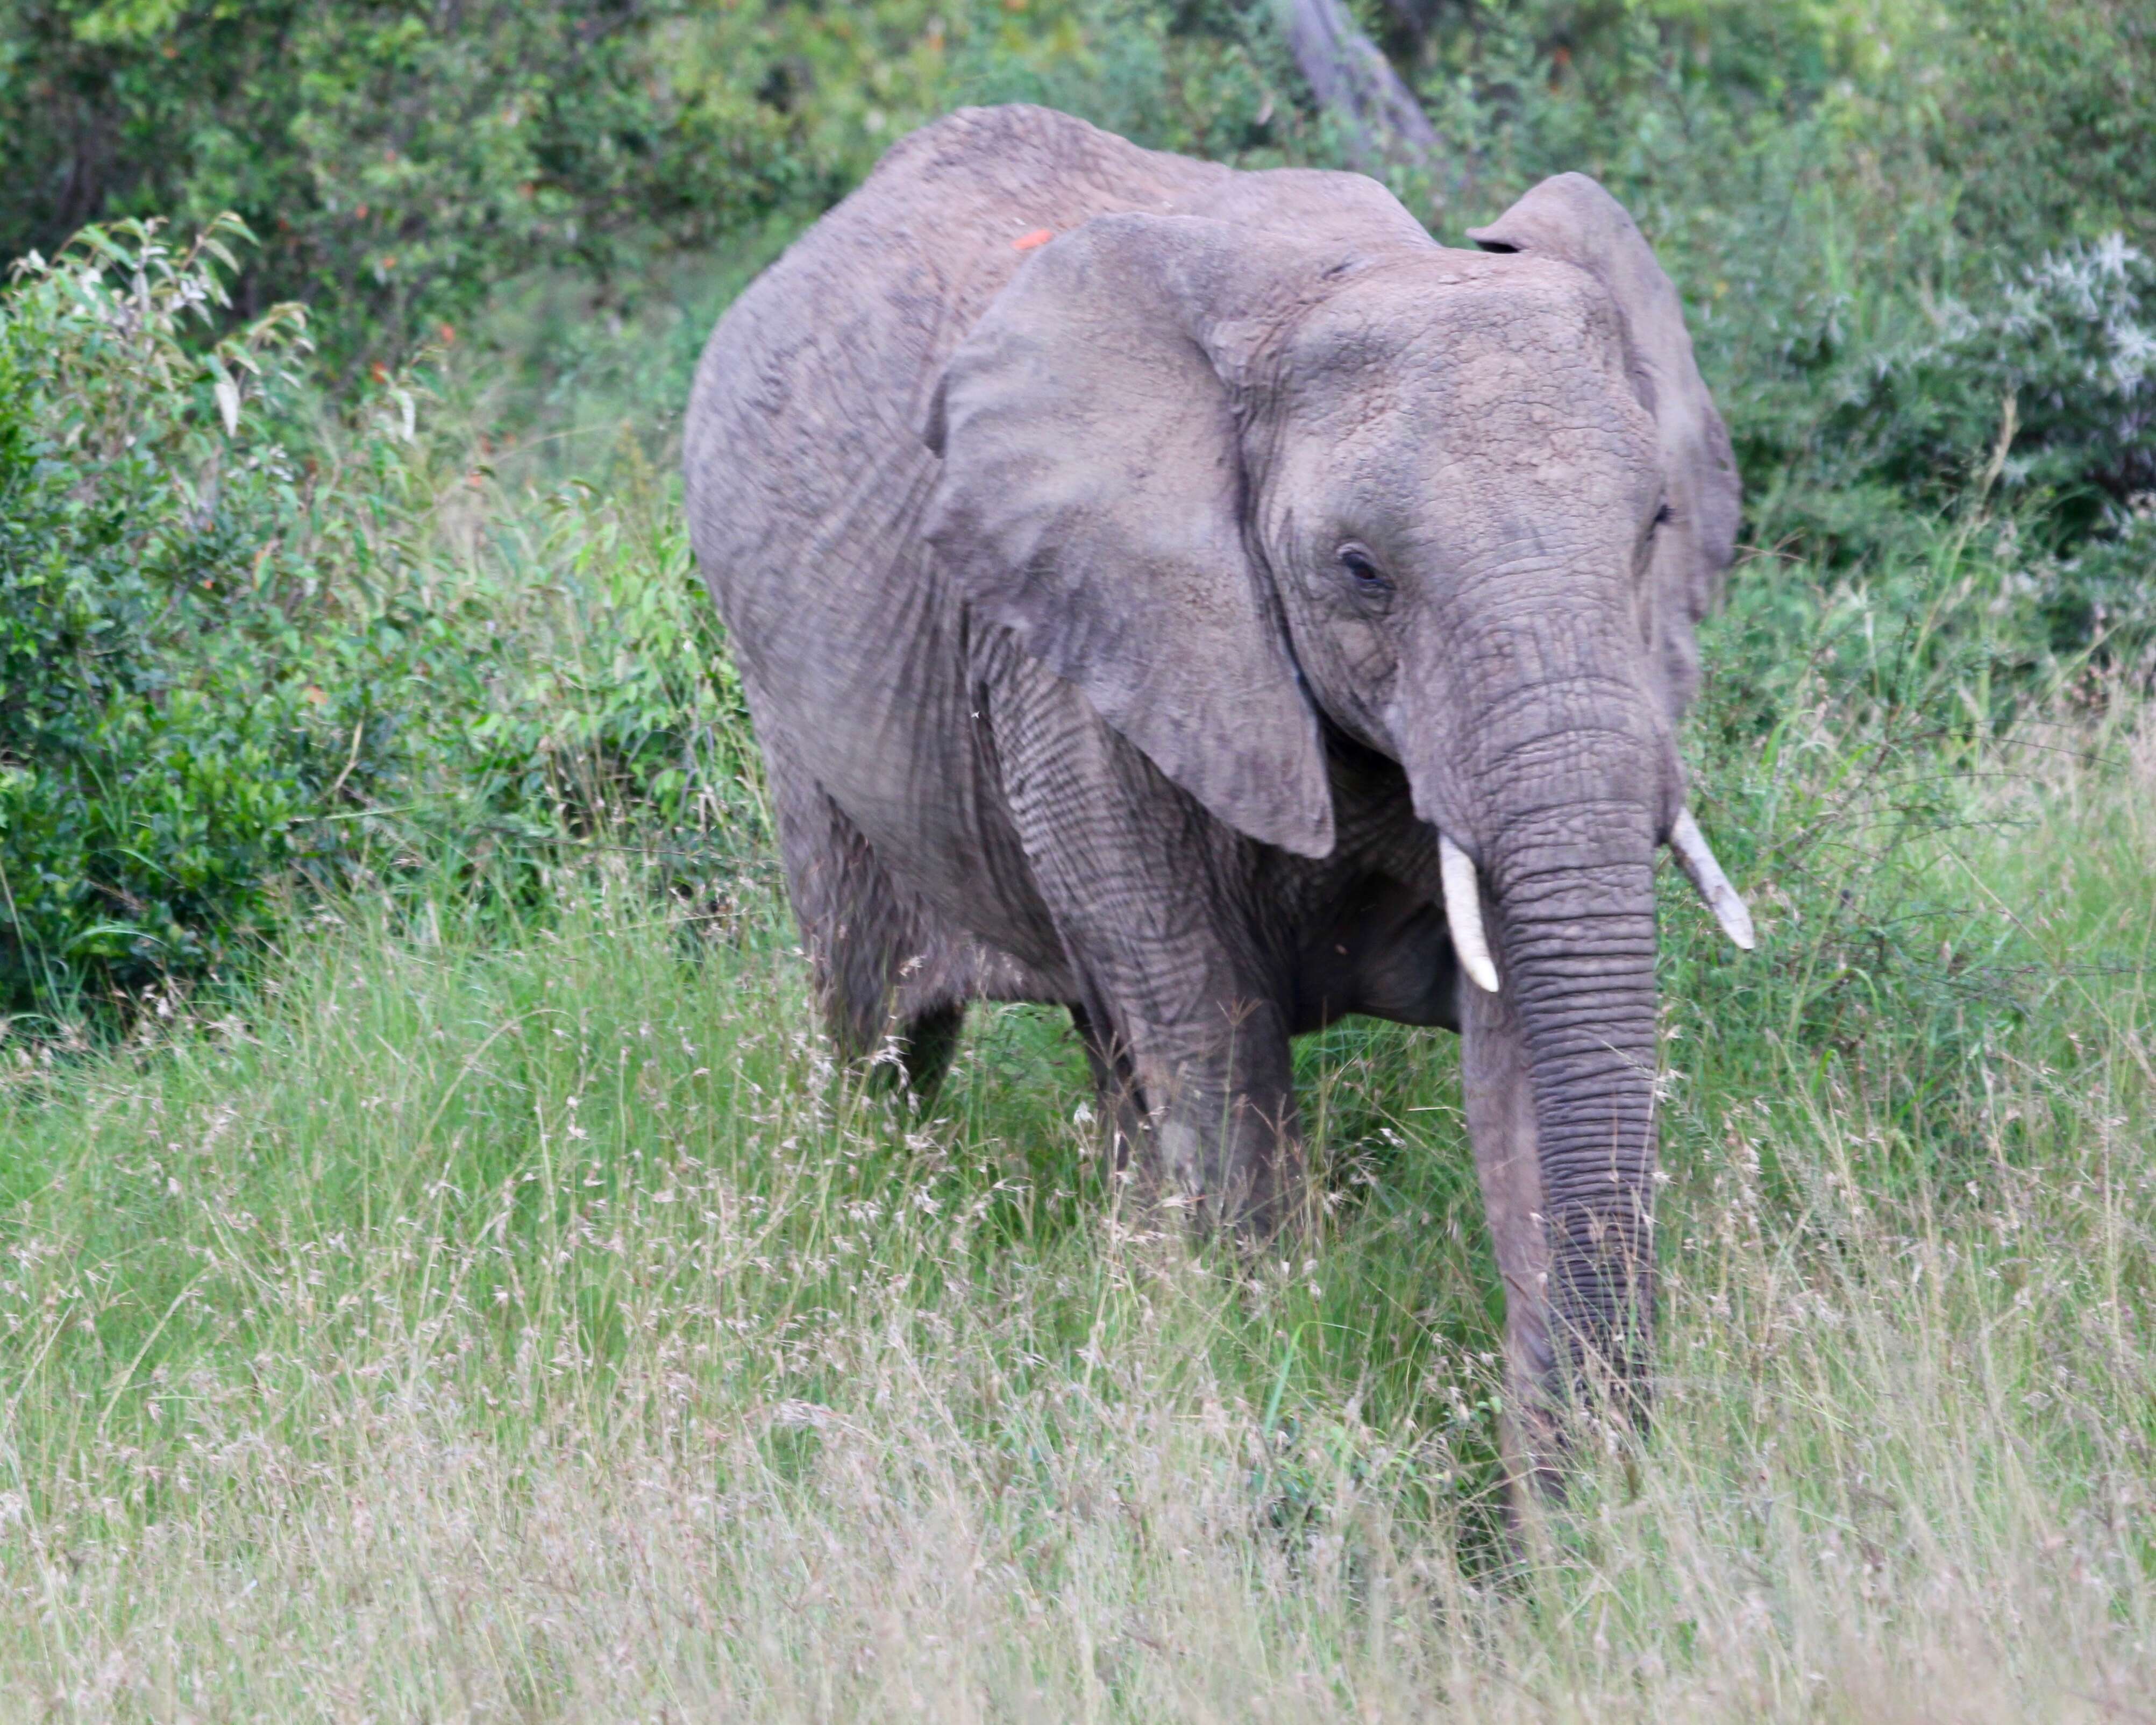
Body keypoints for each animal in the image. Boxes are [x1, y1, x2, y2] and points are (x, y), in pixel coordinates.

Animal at [685, 101, 1751, 1474]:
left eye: (1655, 525)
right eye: (1358, 570)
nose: (1569, 1489)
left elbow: (1525, 1054)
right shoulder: (1074, 661)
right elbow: (1216, 1051)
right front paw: (1265, 1362)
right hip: (793, 712)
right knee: (877, 1032)